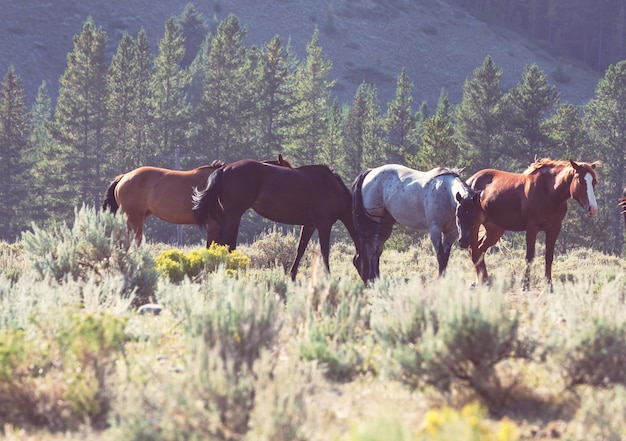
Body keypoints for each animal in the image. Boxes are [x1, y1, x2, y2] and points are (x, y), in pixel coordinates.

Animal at [193, 158, 364, 280]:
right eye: (362, 261)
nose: (369, 283)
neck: (333, 189)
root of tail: (224, 168)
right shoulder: (324, 224)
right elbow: (324, 251)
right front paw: (328, 277)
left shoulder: (309, 225)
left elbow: (300, 249)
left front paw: (292, 276)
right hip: (233, 214)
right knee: (222, 240)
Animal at [466, 158, 596, 288]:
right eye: (580, 180)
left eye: (594, 182)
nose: (593, 209)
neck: (548, 192)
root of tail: (470, 181)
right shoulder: (532, 228)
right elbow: (530, 256)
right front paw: (525, 285)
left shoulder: (554, 228)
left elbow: (549, 256)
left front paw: (549, 285)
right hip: (475, 225)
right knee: (474, 250)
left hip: (495, 229)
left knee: (480, 250)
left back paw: (483, 281)